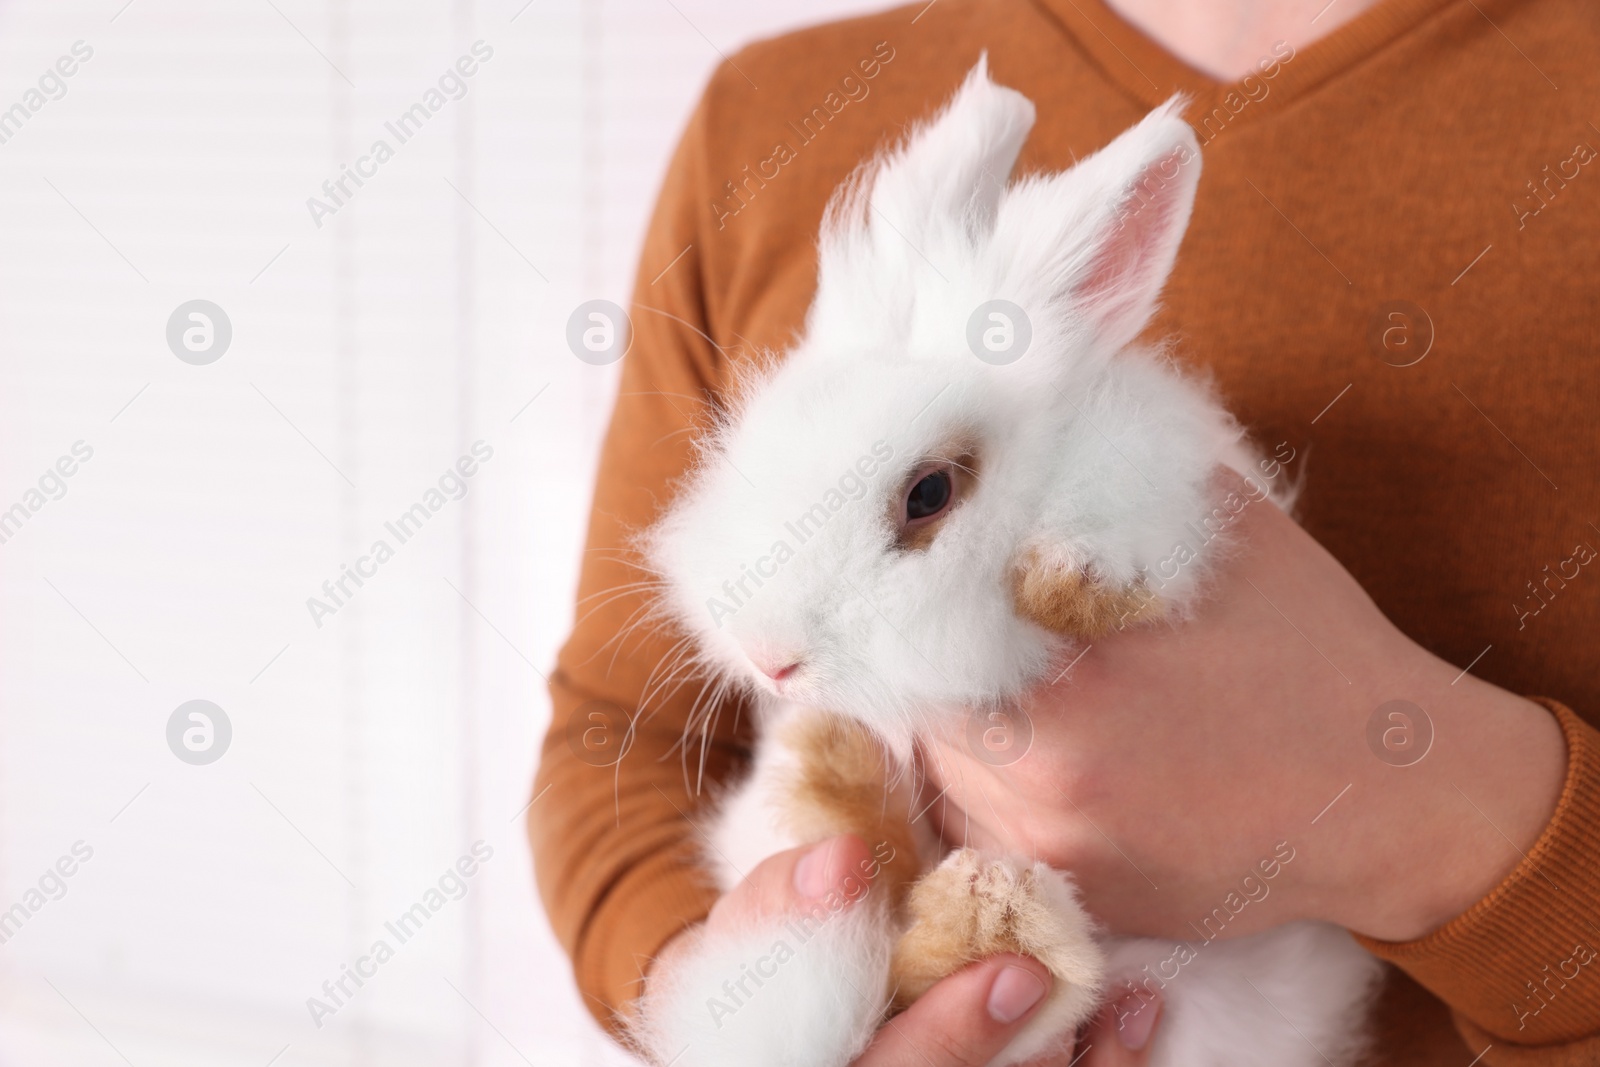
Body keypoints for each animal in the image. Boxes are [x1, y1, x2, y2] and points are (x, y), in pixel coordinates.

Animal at [630, 56, 1382, 1067]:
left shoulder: (1163, 468)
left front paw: (1071, 581)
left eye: (929, 494)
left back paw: (993, 911)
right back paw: (842, 777)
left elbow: (1122, 507)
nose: (770, 658)